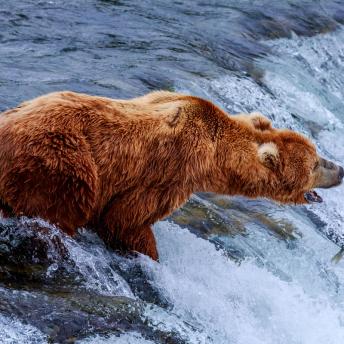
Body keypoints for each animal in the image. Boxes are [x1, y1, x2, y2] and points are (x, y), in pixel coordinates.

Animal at [0, 90, 342, 260]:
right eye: (315, 164)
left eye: (317, 154)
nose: (339, 169)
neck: (214, 155)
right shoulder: (171, 169)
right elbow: (125, 220)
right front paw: (148, 253)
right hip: (60, 164)